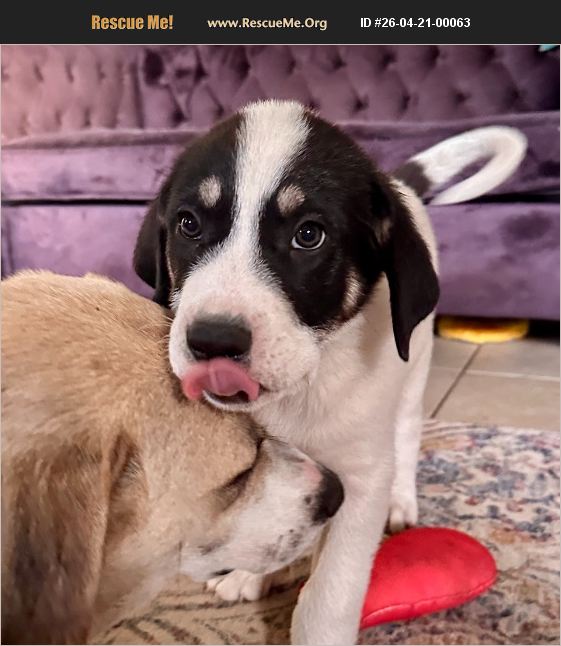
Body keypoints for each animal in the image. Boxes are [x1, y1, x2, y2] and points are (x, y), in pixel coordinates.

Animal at [133, 100, 527, 644]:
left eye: (309, 235)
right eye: (188, 224)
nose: (212, 340)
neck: (300, 389)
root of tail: (393, 180)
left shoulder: (360, 479)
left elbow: (328, 598)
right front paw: (252, 569)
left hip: (415, 366)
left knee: (406, 431)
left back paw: (402, 501)